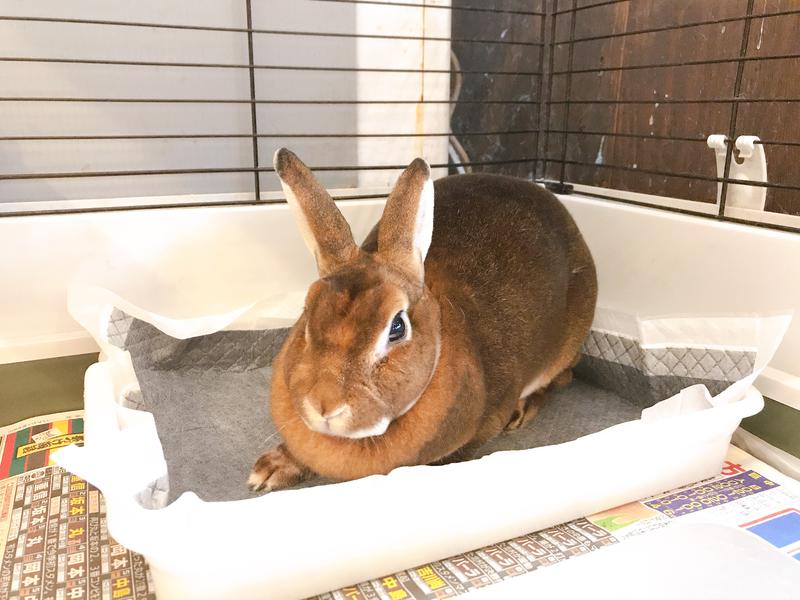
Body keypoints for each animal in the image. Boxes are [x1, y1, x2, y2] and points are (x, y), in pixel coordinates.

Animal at [247, 149, 596, 492]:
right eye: (307, 314)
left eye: (397, 327)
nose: (325, 405)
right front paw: (270, 469)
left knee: (561, 378)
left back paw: (522, 411)